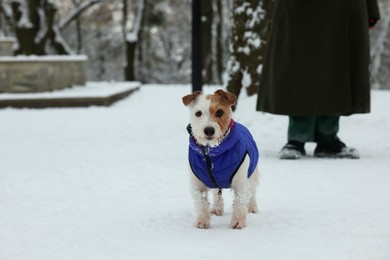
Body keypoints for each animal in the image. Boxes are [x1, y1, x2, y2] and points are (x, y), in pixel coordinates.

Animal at [183, 90, 258, 230]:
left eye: (219, 112)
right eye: (198, 113)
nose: (209, 130)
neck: (211, 154)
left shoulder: (240, 181)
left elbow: (240, 201)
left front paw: (238, 222)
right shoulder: (197, 183)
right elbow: (201, 202)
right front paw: (202, 221)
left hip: (253, 174)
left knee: (252, 192)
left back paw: (252, 207)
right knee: (217, 193)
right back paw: (217, 208)